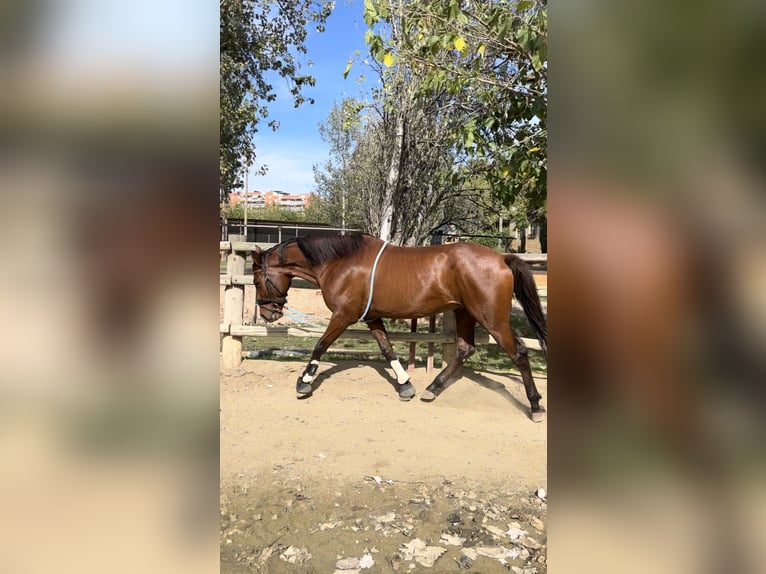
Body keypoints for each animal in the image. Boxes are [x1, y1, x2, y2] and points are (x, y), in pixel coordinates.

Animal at [255, 234, 548, 424]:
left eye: (257, 280)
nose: (267, 313)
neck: (341, 262)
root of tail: (501, 258)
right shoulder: (371, 317)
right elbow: (387, 349)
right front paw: (406, 385)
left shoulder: (344, 315)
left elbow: (320, 345)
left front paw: (303, 382)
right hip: (465, 313)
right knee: (465, 349)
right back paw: (432, 388)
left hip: (491, 319)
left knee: (519, 353)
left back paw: (535, 405)